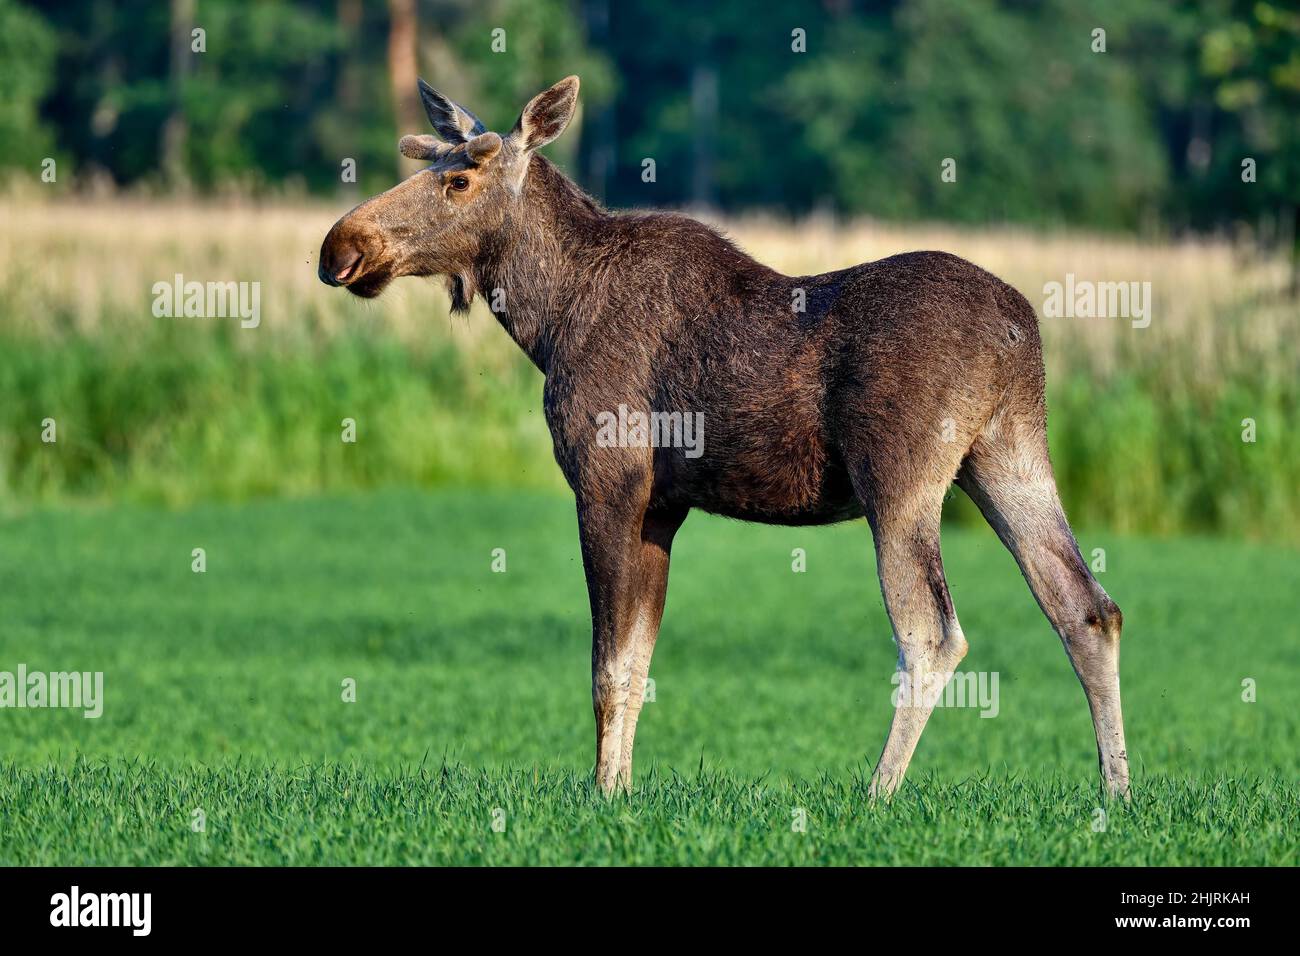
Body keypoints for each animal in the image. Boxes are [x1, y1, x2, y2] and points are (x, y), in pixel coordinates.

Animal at [318, 76, 1131, 800]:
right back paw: (1116, 793)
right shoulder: (662, 506)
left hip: (901, 475)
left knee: (933, 632)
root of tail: (1020, 332)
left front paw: (602, 793)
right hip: (1009, 452)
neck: (546, 321)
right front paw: (622, 789)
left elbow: (606, 666)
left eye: (460, 178)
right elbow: (638, 663)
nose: (340, 245)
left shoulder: (609, 482)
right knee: (1087, 607)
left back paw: (877, 795)